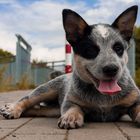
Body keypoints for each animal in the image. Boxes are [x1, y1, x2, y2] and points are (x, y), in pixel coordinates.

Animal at [0, 6, 140, 130]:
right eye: (90, 50)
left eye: (118, 48)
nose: (111, 69)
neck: (103, 97)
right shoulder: (70, 100)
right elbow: (73, 107)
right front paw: (70, 117)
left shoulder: (135, 99)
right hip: (46, 90)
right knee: (27, 99)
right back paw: (11, 108)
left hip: (53, 109)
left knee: (37, 109)